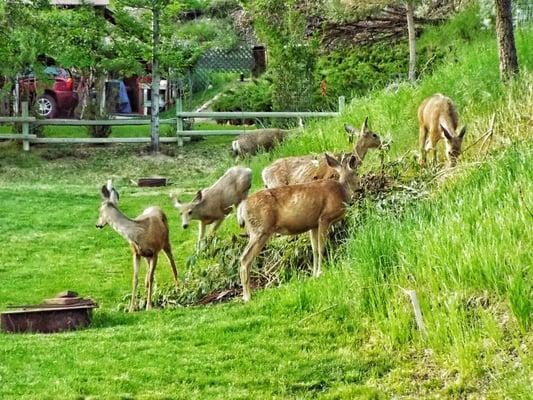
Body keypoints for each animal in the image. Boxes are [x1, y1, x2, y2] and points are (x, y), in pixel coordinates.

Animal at [95, 181, 179, 312]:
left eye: (99, 211)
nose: (97, 224)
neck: (138, 235)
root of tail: (156, 206)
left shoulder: (155, 251)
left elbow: (151, 278)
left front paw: (149, 306)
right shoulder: (136, 253)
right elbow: (135, 279)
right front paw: (132, 308)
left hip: (166, 242)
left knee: (172, 265)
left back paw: (178, 289)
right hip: (146, 256)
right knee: (147, 276)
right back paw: (146, 298)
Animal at [237, 152, 358, 300]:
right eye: (356, 173)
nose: (360, 186)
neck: (342, 191)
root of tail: (241, 208)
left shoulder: (313, 224)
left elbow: (314, 249)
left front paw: (314, 274)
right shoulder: (324, 218)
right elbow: (321, 248)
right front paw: (320, 272)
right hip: (259, 230)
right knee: (244, 259)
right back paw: (247, 296)